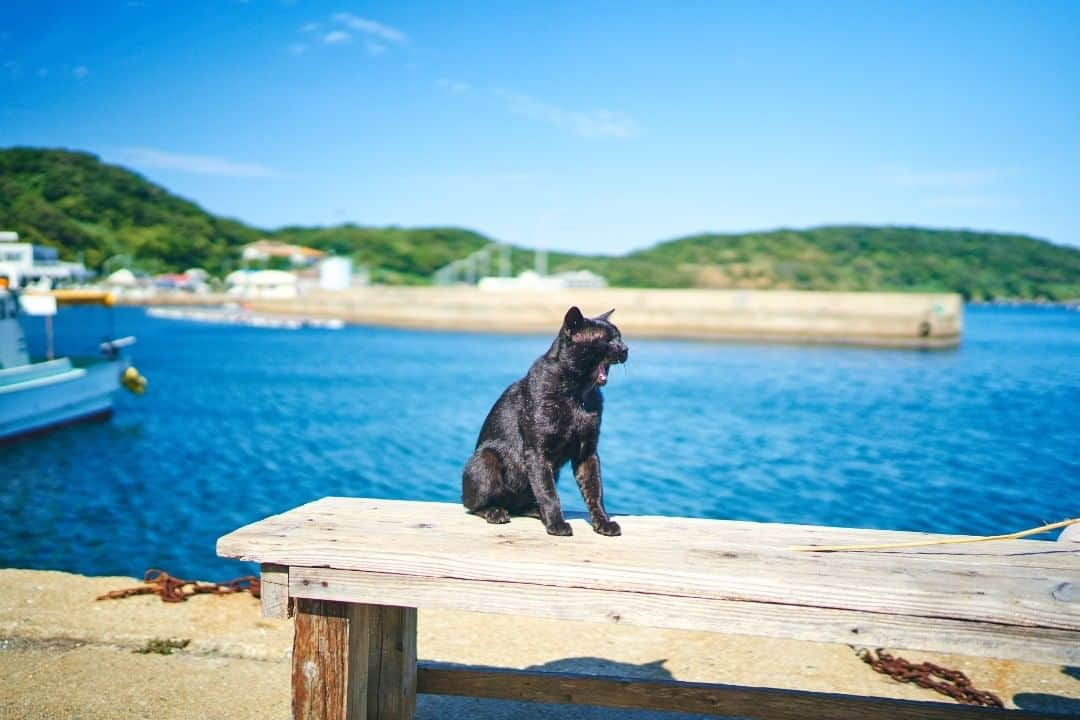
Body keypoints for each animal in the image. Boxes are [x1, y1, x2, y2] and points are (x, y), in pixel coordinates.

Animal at [460, 304, 630, 535]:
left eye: (619, 337)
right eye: (608, 340)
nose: (626, 349)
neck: (577, 392)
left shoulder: (587, 453)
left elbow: (595, 492)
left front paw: (603, 522)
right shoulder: (538, 452)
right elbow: (548, 493)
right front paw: (556, 524)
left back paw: (534, 511)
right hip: (486, 458)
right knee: (473, 505)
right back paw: (496, 512)